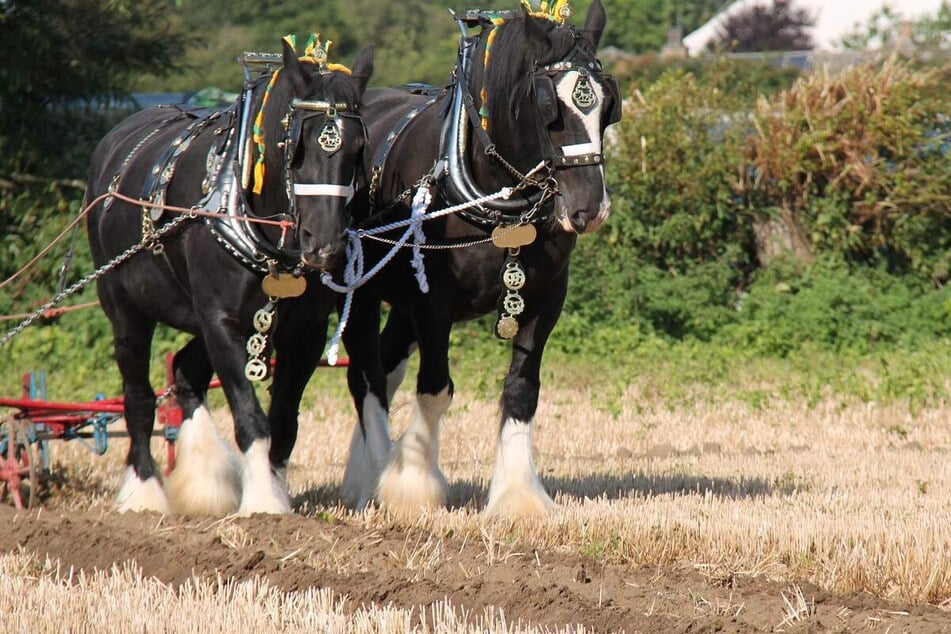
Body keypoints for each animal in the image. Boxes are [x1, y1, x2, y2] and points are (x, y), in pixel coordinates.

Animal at [85, 38, 374, 512]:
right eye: (298, 145)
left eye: (358, 148)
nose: (325, 246)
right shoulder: (220, 321)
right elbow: (250, 415)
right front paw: (263, 503)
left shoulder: (305, 332)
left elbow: (284, 420)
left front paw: (272, 487)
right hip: (125, 310)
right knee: (139, 398)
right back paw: (144, 491)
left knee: (186, 372)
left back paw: (203, 482)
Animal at [338, 0, 620, 512]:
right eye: (548, 108)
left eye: (608, 105)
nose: (590, 208)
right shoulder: (433, 302)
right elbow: (435, 388)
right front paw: (412, 485)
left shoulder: (546, 297)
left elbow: (522, 390)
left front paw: (519, 497)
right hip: (361, 292)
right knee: (366, 377)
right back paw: (371, 475)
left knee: (385, 367)